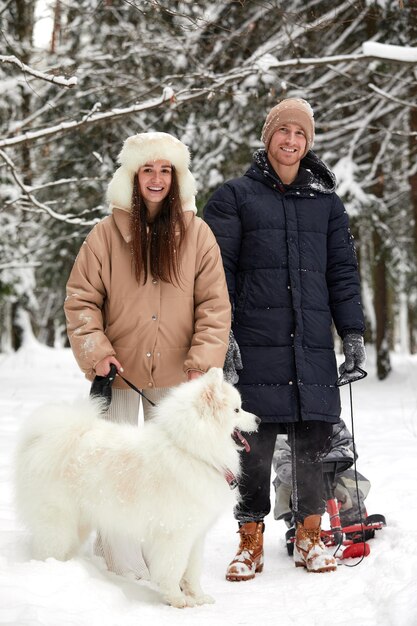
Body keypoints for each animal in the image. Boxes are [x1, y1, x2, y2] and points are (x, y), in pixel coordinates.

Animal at [14, 366, 258, 604]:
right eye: (237, 410)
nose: (258, 420)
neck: (190, 449)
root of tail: (44, 439)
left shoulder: (196, 533)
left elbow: (193, 570)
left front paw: (198, 596)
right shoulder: (175, 533)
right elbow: (174, 567)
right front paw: (176, 598)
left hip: (79, 521)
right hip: (58, 521)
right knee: (49, 548)